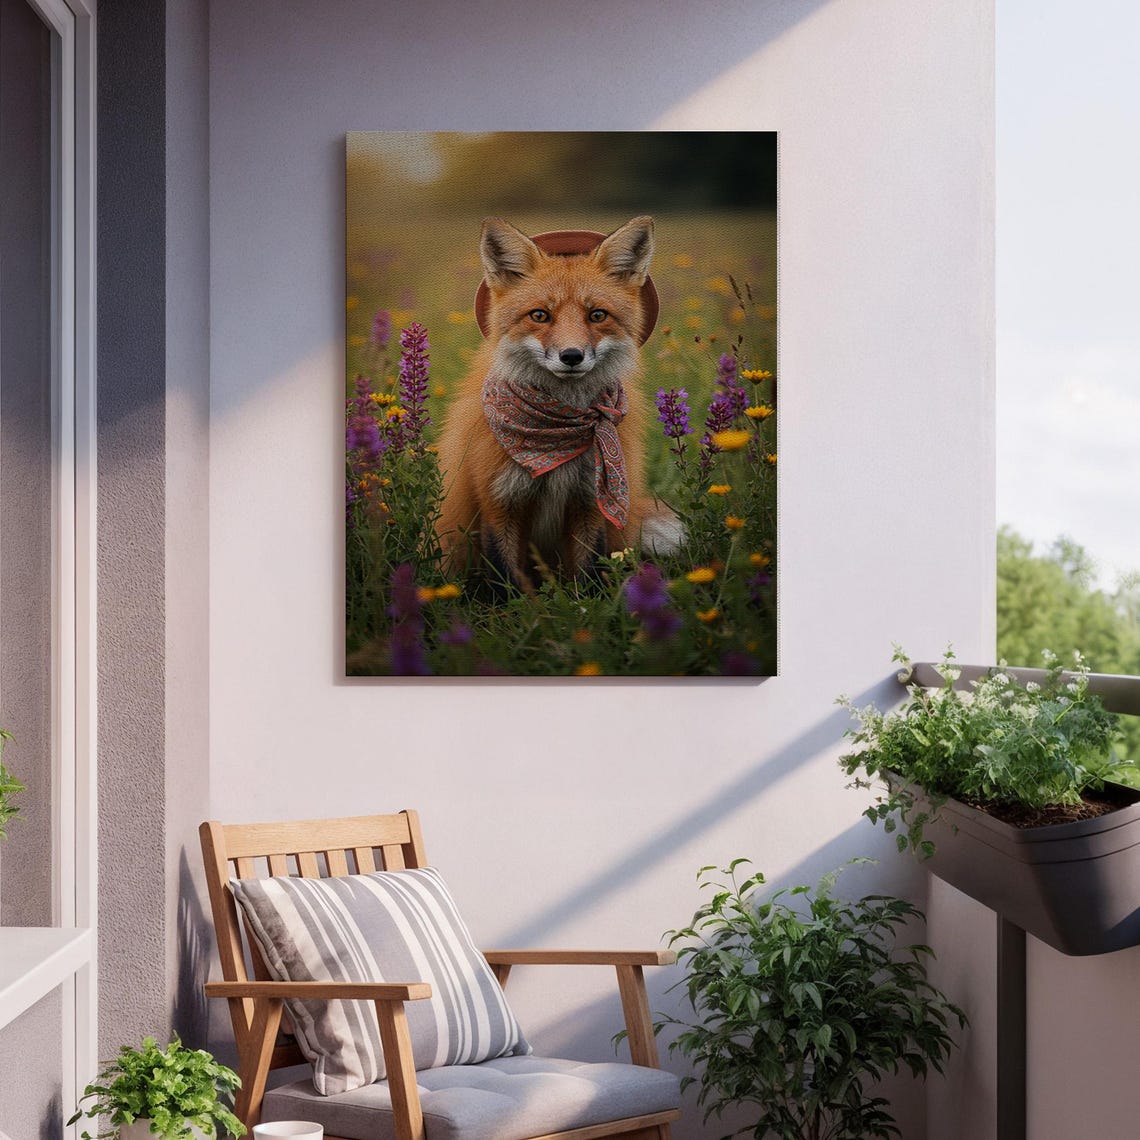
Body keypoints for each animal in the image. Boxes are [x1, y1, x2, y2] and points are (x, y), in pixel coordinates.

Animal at [436, 215, 681, 591]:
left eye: (597, 315)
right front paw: (516, 606)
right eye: (540, 315)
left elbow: (588, 573)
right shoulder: (497, 501)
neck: (555, 430)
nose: (571, 356)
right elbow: (504, 578)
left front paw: (586, 602)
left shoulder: (590, 502)